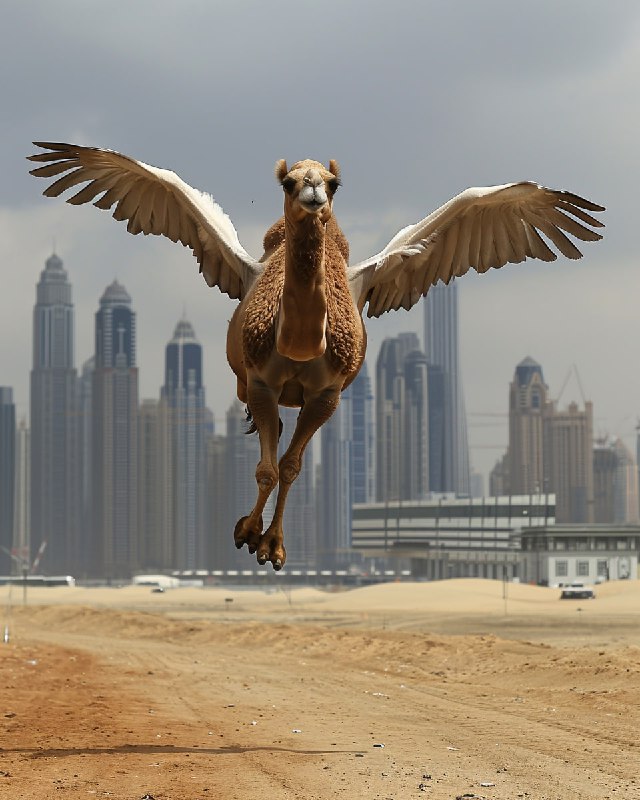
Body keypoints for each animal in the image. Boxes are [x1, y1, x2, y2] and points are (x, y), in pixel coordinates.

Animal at [28, 142, 605, 569]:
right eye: (288, 182)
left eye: (333, 183)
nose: (312, 197)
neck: (302, 340)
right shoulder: (262, 382)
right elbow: (266, 469)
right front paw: (247, 532)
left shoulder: (326, 395)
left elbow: (290, 468)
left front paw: (273, 547)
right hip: (248, 376)